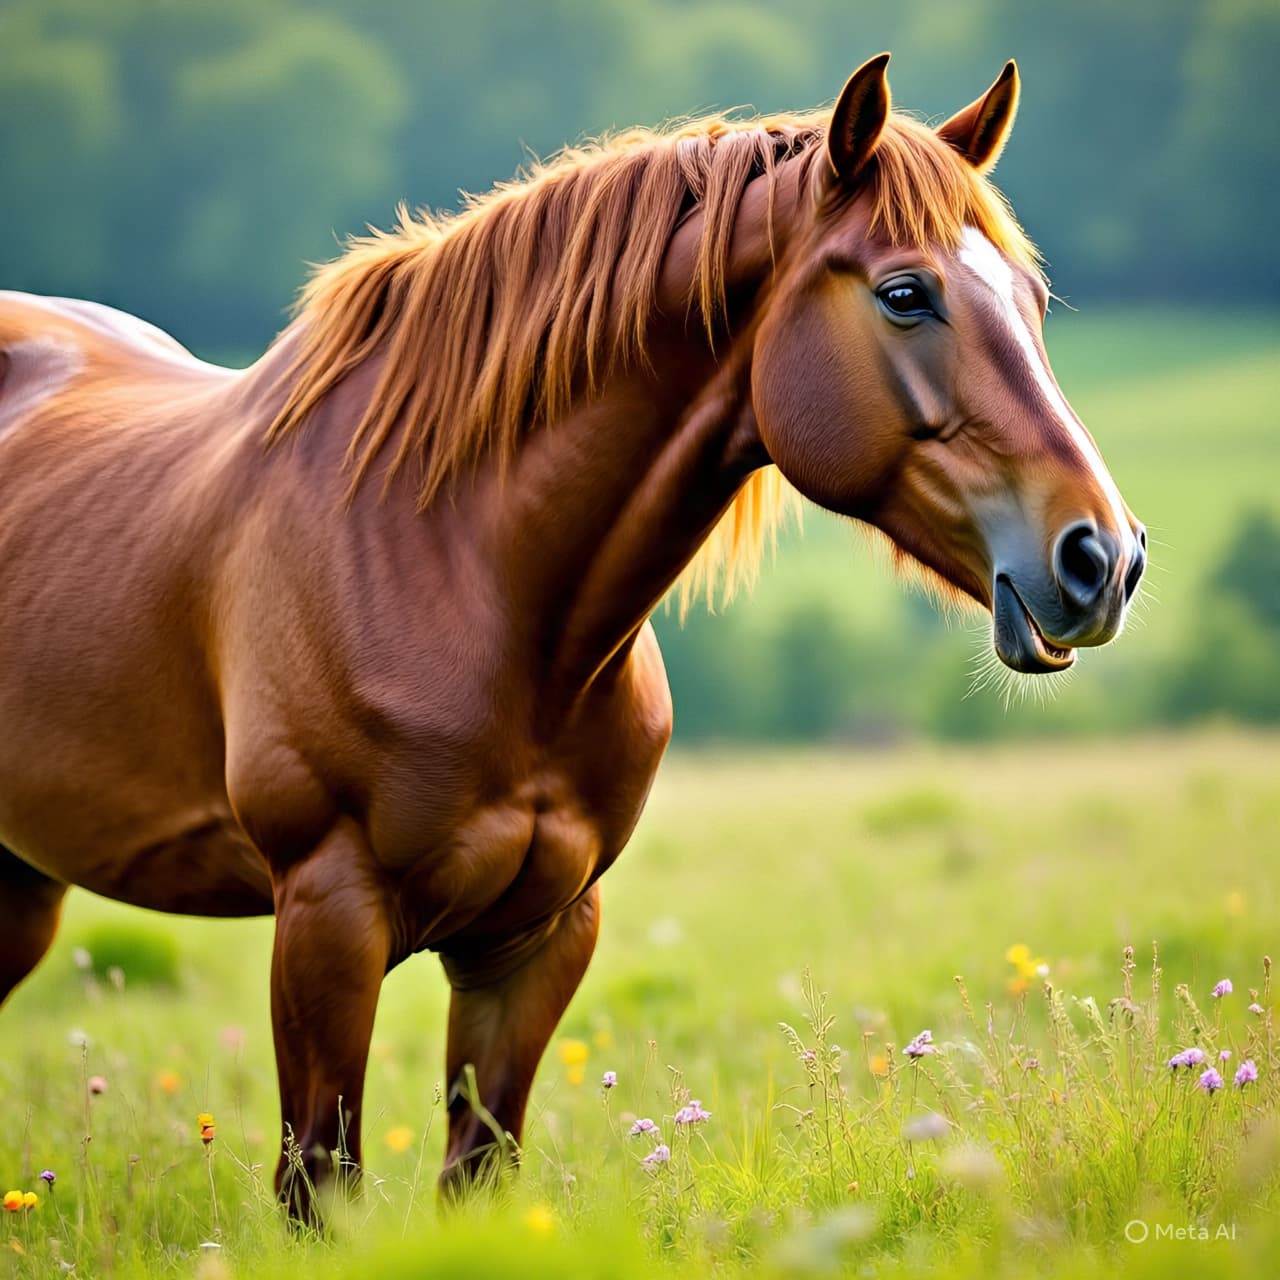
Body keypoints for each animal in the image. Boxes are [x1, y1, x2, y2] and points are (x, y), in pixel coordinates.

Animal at [0, 54, 1145, 1223]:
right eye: (906, 293)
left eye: (1030, 300)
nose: (1102, 558)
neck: (466, 576)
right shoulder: (326, 915)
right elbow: (319, 1181)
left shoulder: (537, 938)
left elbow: (477, 1167)